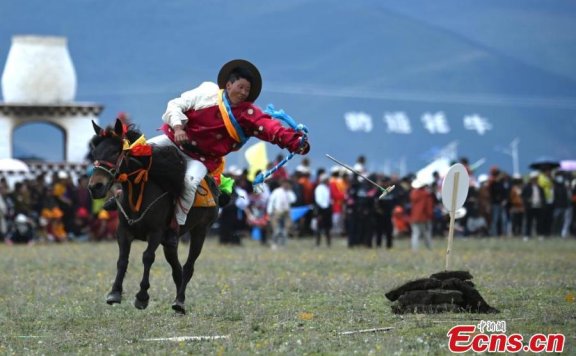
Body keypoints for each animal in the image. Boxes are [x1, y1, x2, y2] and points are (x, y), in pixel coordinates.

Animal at [88, 119, 218, 314]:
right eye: (95, 153)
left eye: (115, 152)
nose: (95, 187)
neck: (139, 191)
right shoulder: (123, 231)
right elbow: (122, 259)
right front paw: (115, 293)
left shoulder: (156, 232)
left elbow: (147, 257)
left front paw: (142, 297)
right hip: (170, 242)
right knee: (176, 269)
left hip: (200, 230)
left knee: (188, 267)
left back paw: (179, 301)